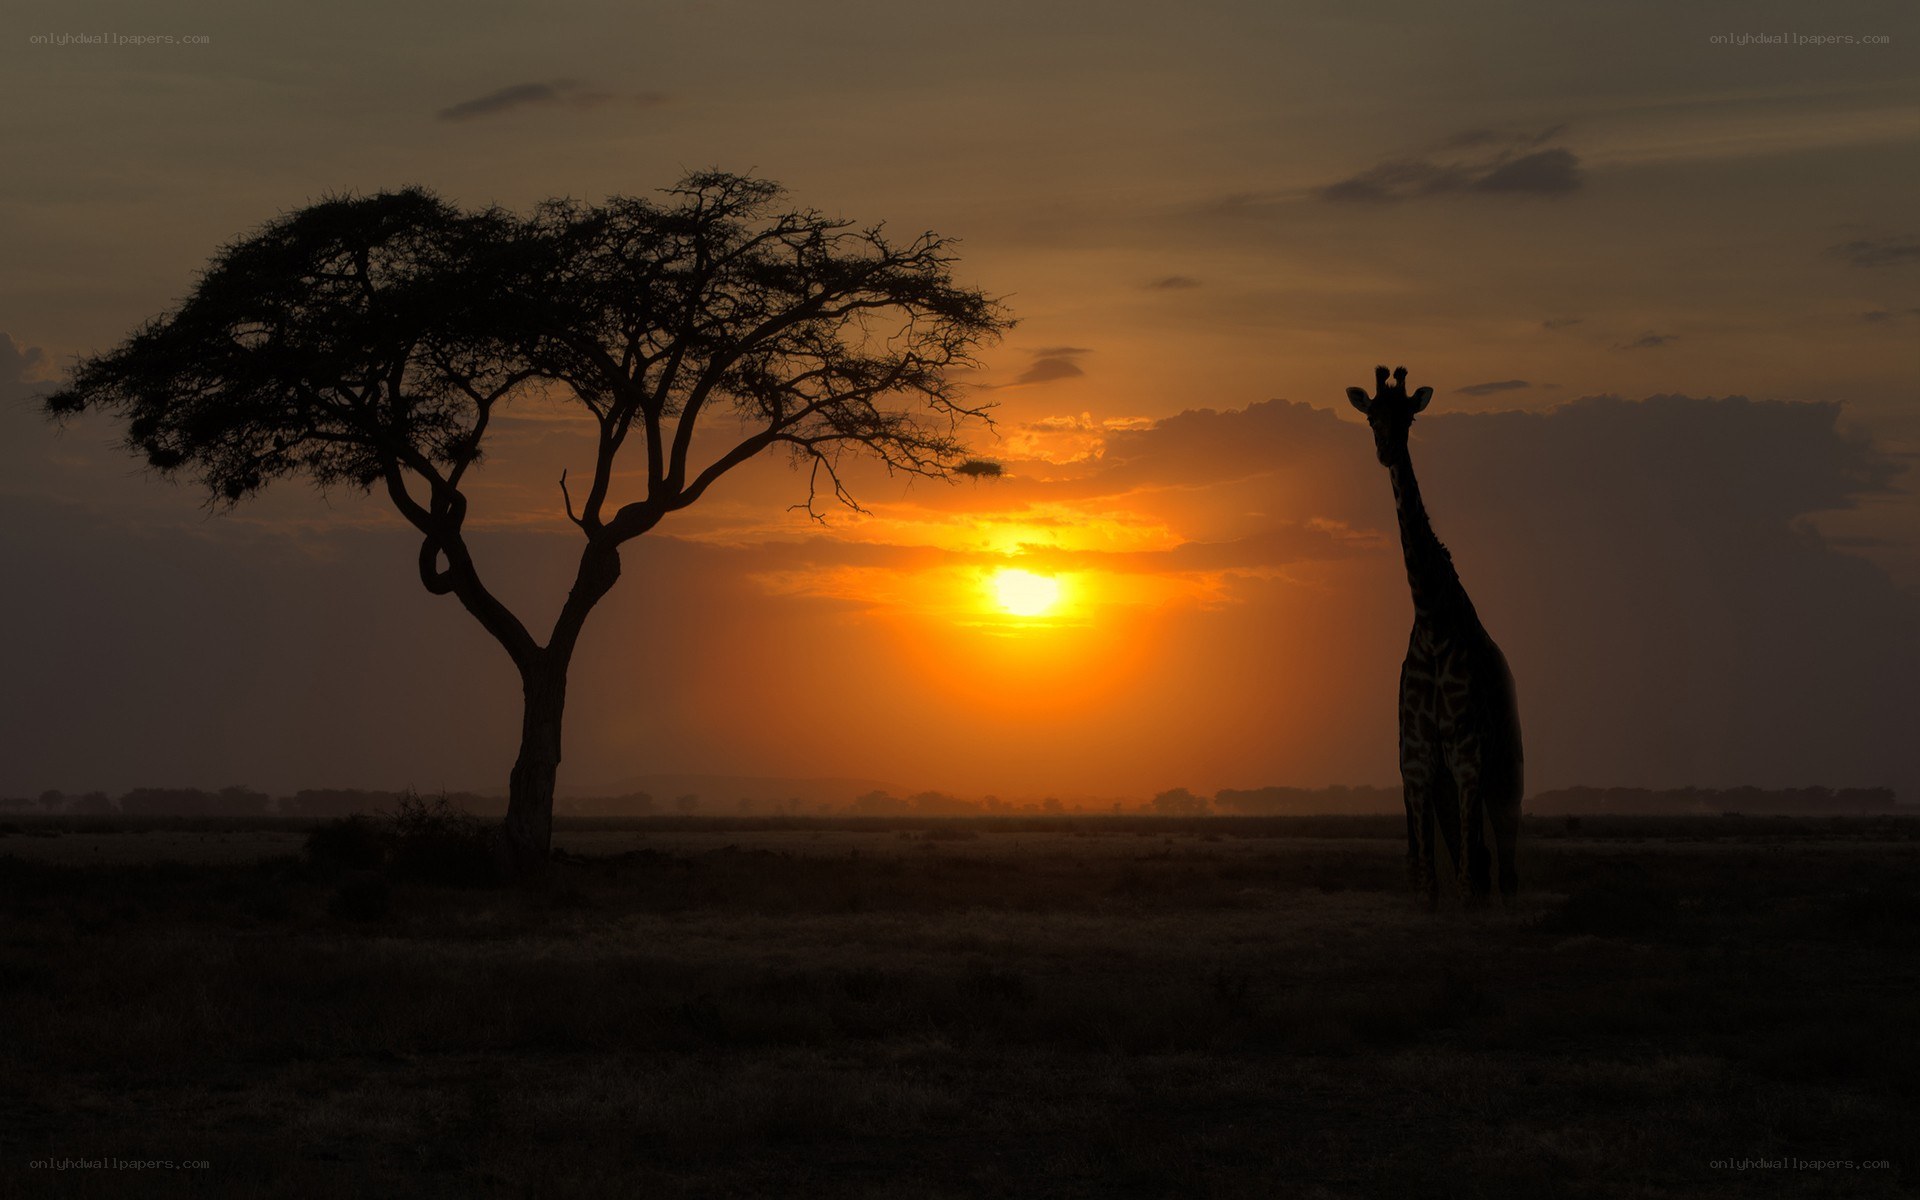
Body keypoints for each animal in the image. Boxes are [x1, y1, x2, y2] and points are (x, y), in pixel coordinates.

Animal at [1347, 365, 1522, 903]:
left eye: (1409, 418)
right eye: (1372, 417)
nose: (1386, 451)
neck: (1431, 619)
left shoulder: (1467, 756)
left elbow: (1467, 879)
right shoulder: (1418, 762)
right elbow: (1426, 878)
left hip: (1506, 771)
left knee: (1504, 866)